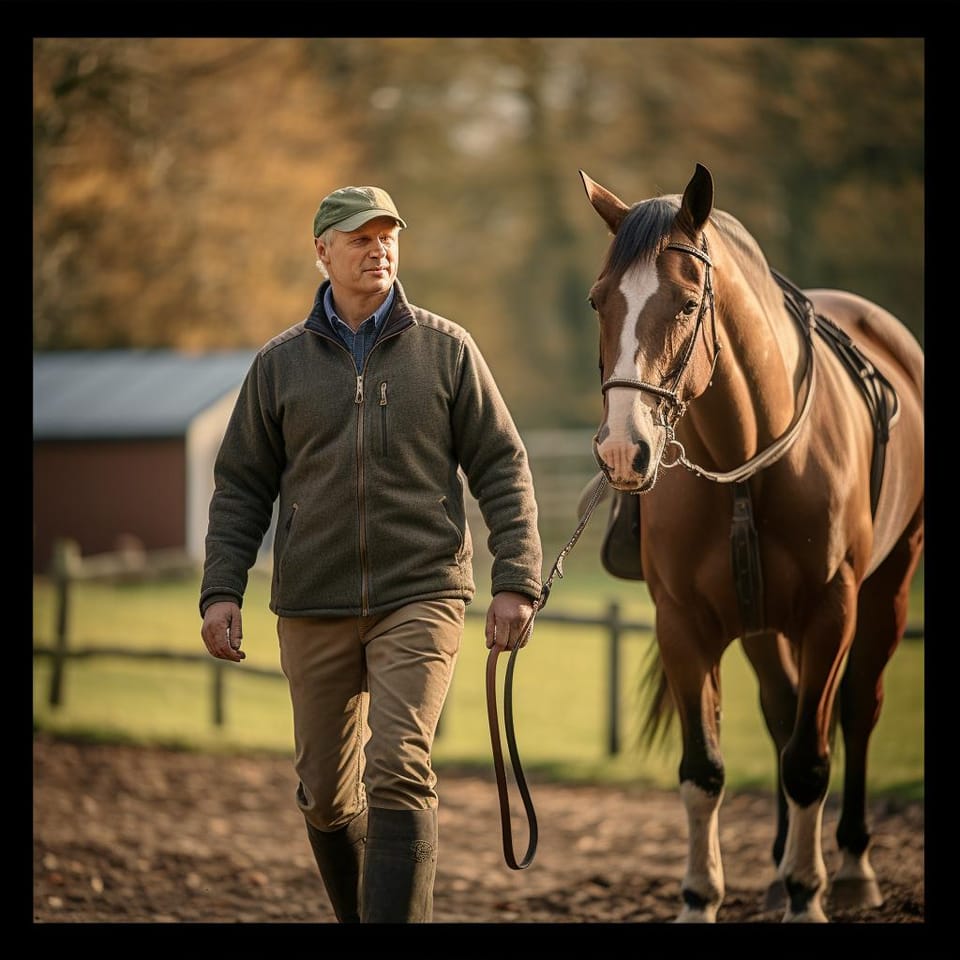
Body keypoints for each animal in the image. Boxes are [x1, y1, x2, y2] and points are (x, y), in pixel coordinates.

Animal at [579, 163, 924, 923]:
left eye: (685, 304)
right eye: (597, 302)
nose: (622, 450)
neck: (748, 460)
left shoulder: (831, 614)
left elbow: (810, 762)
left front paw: (808, 896)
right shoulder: (684, 626)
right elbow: (703, 771)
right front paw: (699, 897)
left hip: (886, 590)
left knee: (855, 711)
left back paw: (849, 866)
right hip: (763, 623)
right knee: (782, 712)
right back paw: (778, 867)